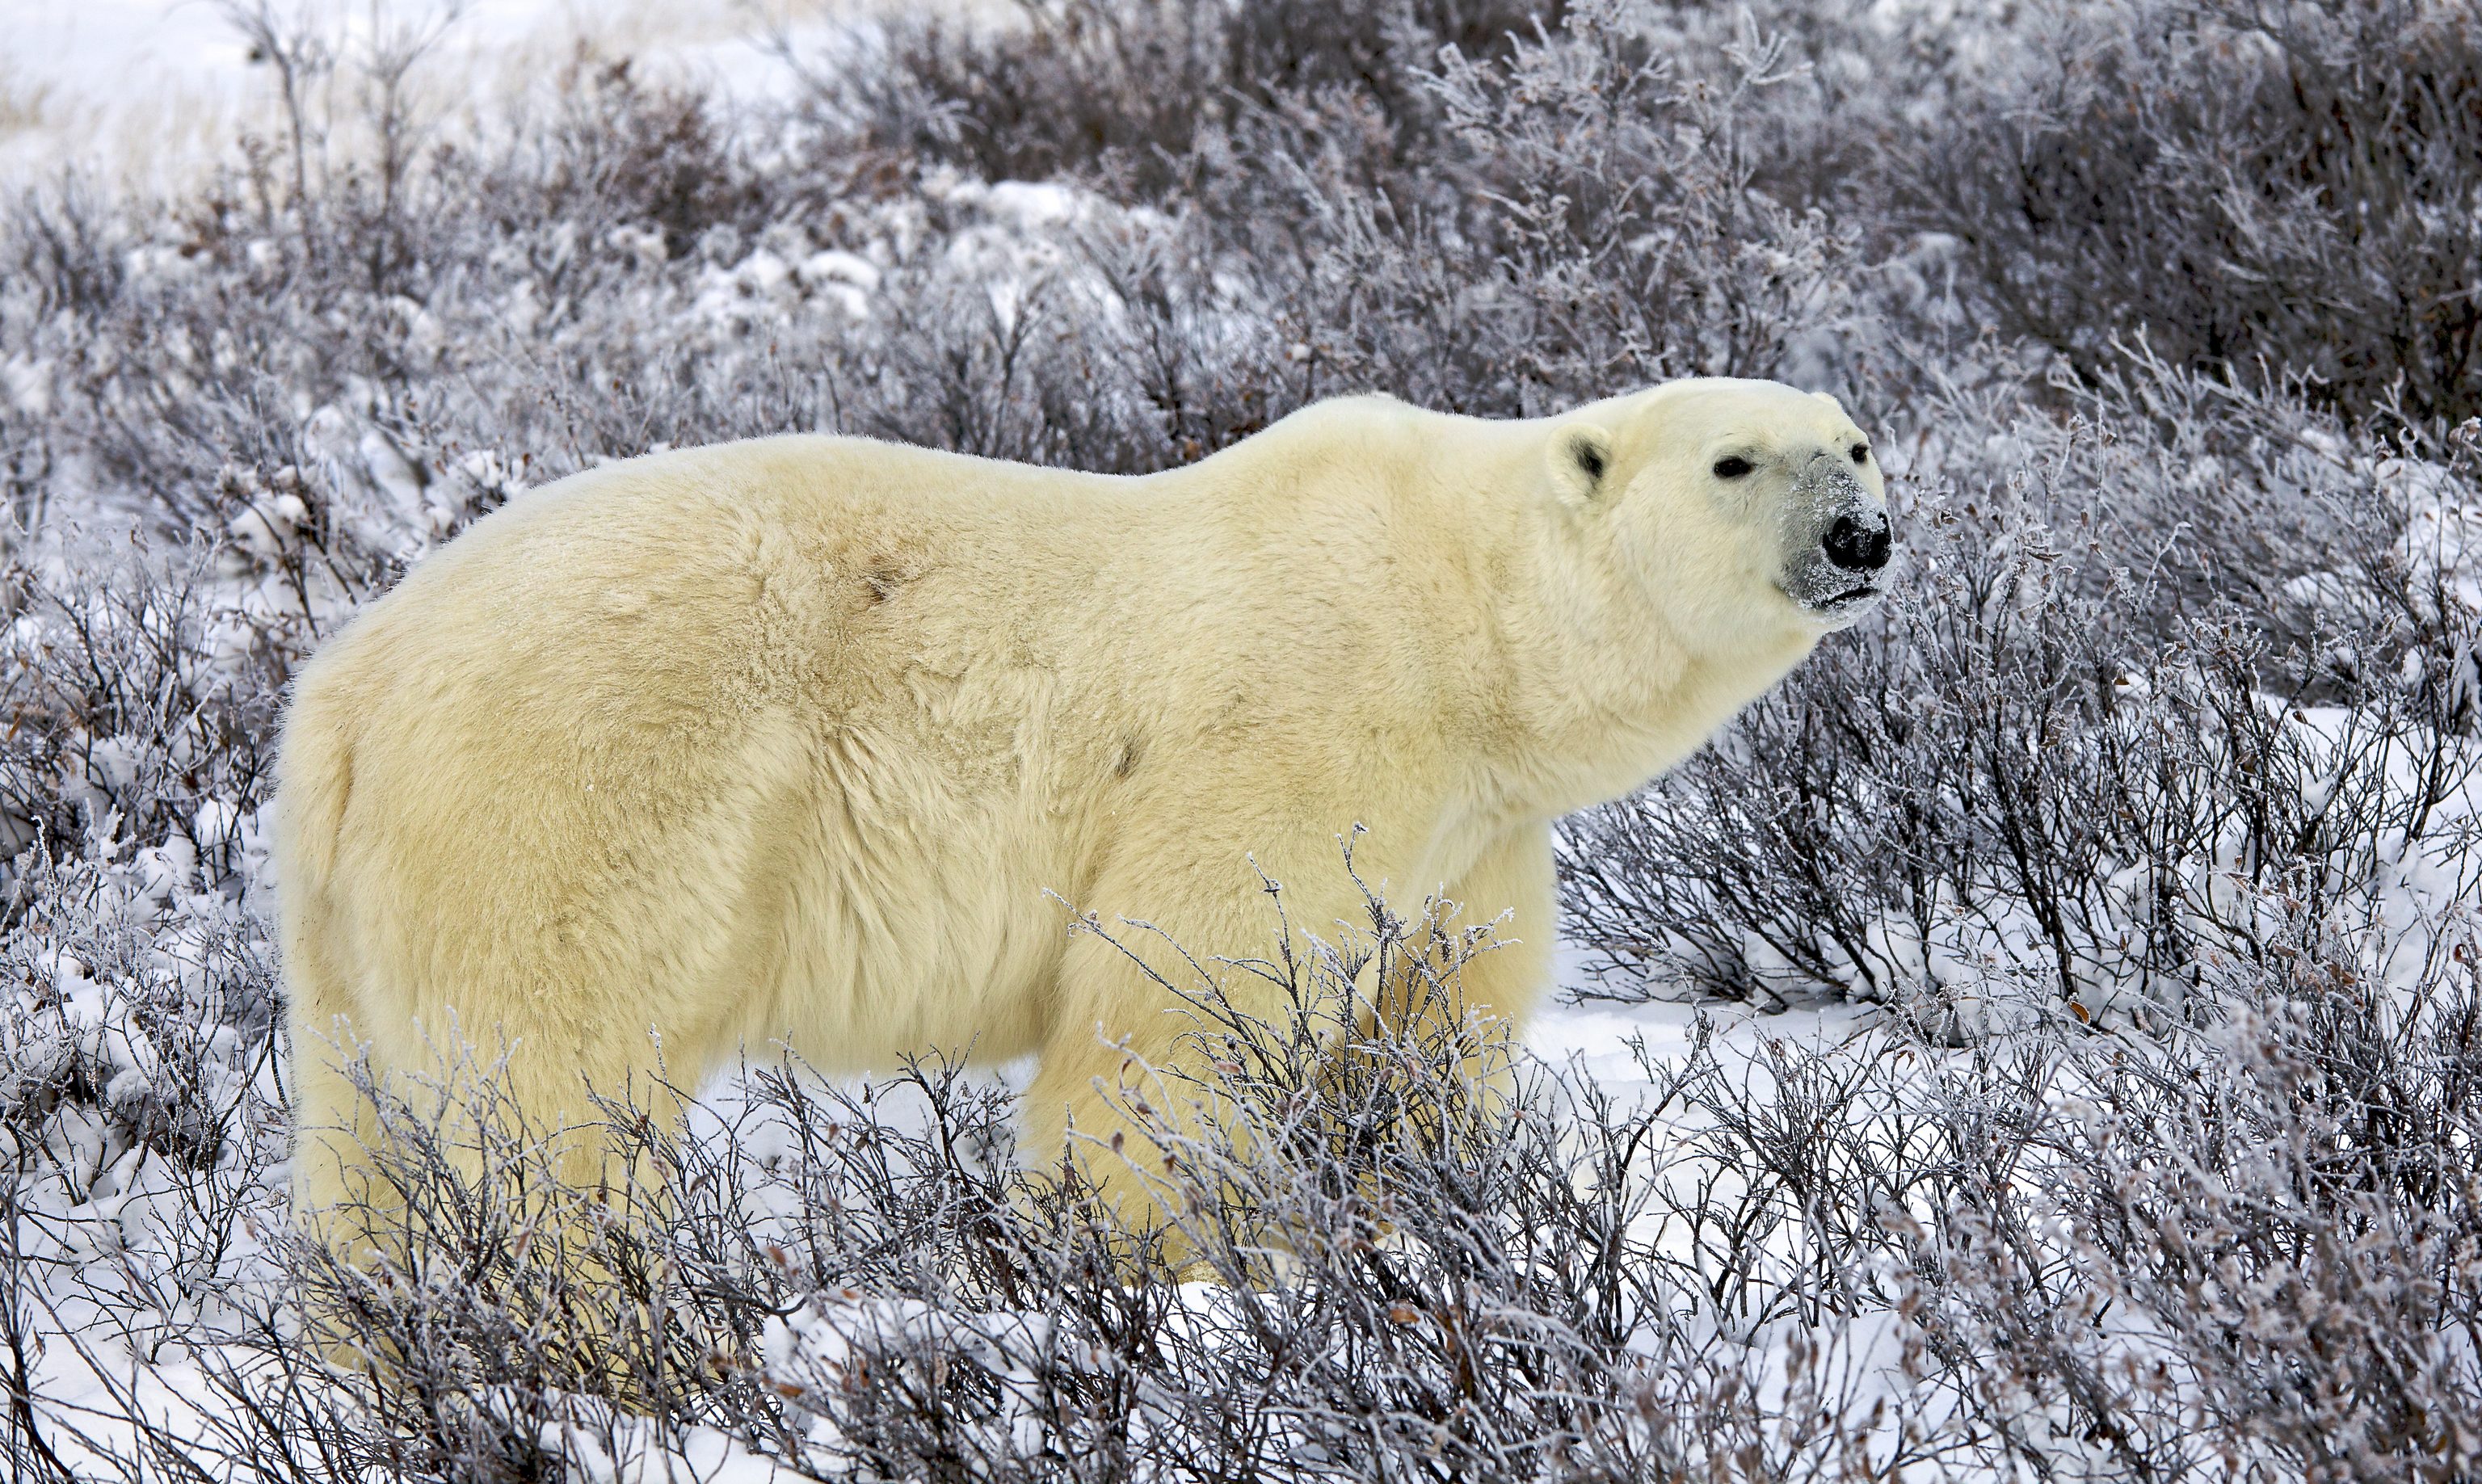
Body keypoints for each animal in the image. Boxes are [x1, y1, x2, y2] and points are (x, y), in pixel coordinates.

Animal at [274, 377, 1891, 1239]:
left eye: (1858, 440)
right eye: (1735, 459)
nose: (1862, 535)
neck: (1463, 619)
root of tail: (348, 683)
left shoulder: (1469, 833)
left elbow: (1429, 1028)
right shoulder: (1305, 732)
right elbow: (1172, 1019)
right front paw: (1181, 1268)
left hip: (357, 909)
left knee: (368, 1139)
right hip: (576, 792)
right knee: (555, 1094)